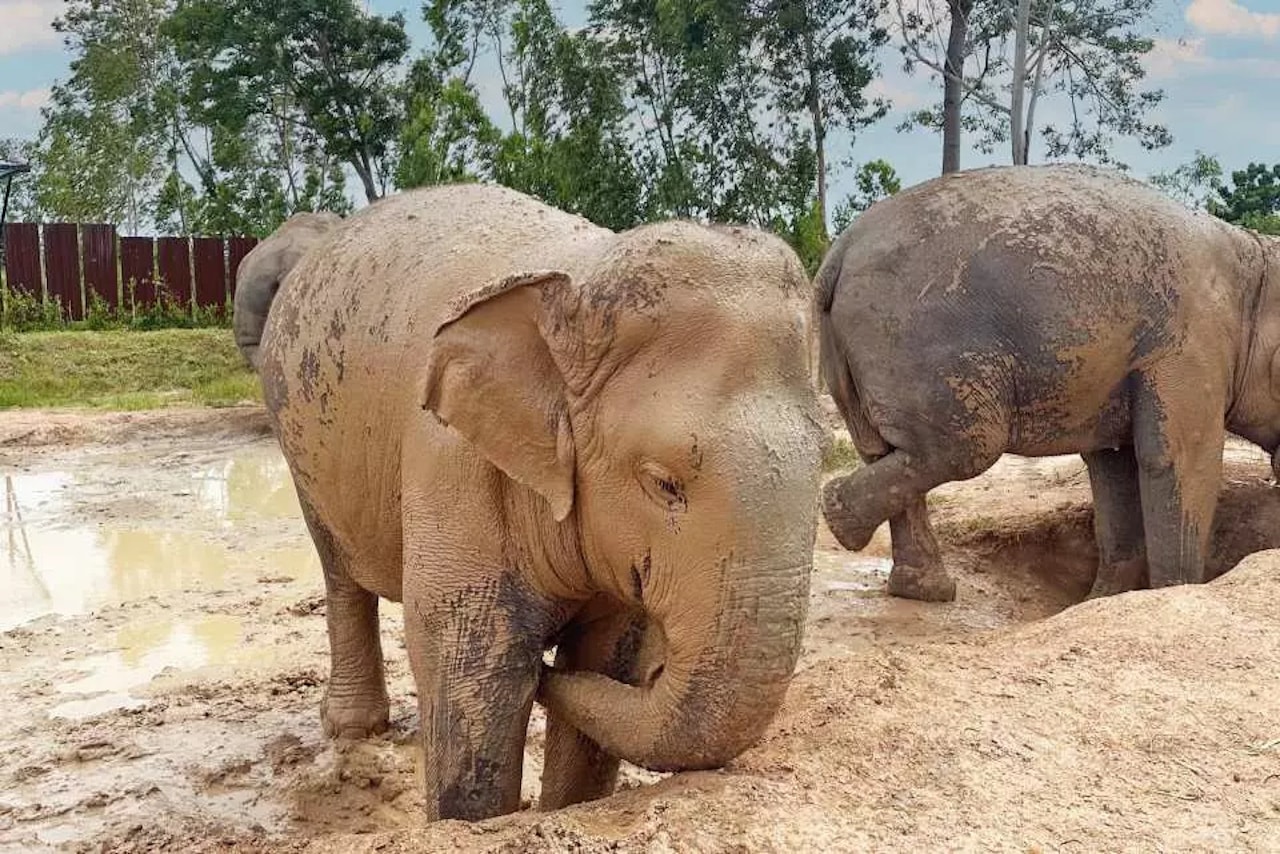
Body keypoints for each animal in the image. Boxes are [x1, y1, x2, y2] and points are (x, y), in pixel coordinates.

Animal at [814, 165, 1280, 601]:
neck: (1254, 258)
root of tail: (838, 254)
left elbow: (1113, 465)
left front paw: (1104, 598)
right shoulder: (1188, 346)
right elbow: (1178, 458)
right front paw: (1171, 593)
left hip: (852, 354)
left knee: (884, 450)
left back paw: (920, 587)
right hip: (914, 344)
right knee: (964, 447)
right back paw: (840, 518)